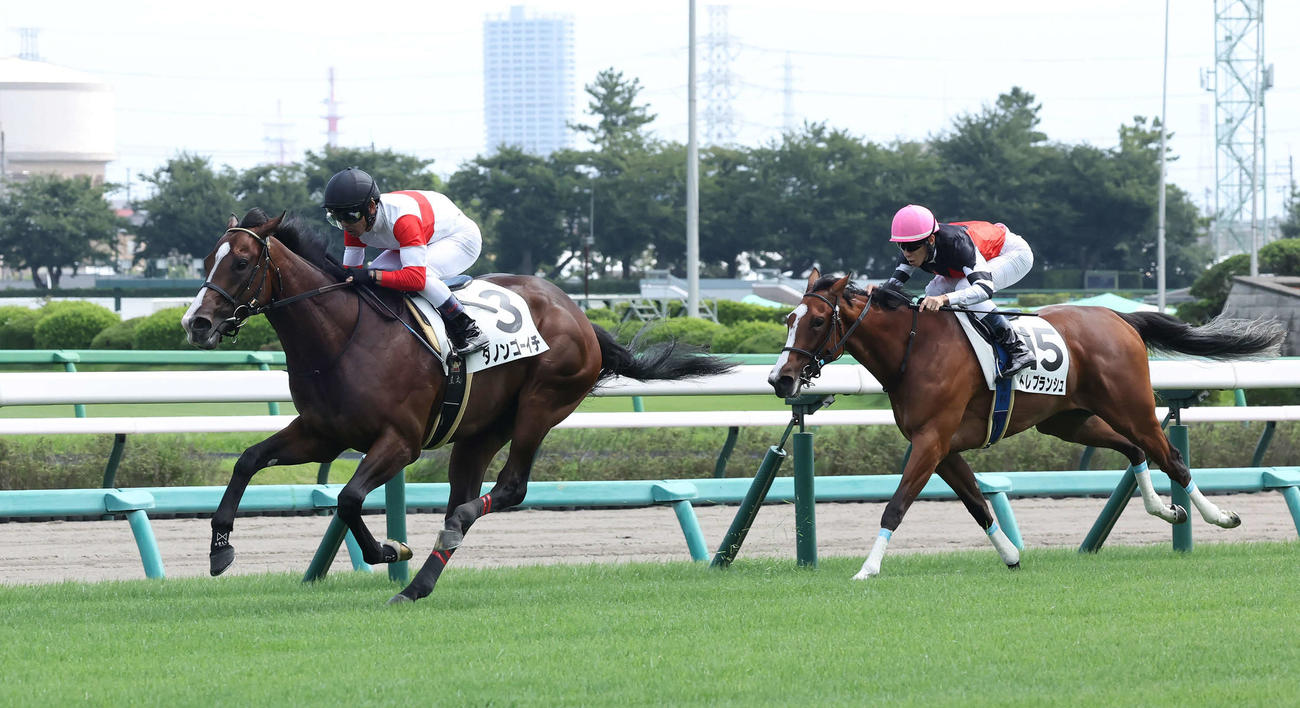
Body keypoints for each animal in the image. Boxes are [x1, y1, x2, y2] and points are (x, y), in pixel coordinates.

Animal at [180, 210, 734, 603]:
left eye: (242, 262)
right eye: (207, 259)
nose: (197, 323)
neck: (343, 335)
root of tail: (578, 314)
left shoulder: (399, 442)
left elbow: (350, 498)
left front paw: (388, 548)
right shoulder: (323, 433)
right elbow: (248, 460)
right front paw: (220, 548)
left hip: (542, 404)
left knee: (505, 490)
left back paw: (440, 543)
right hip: (479, 431)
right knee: (463, 498)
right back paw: (418, 583)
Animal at [768, 269, 1285, 579]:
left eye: (817, 320)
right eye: (789, 318)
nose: (780, 378)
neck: (913, 349)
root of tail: (1118, 316)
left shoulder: (931, 441)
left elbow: (895, 506)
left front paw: (867, 570)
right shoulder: (941, 447)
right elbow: (977, 504)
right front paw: (1012, 555)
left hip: (1131, 406)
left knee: (1171, 456)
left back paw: (1220, 517)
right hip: (1068, 421)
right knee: (1135, 450)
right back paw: (1166, 510)